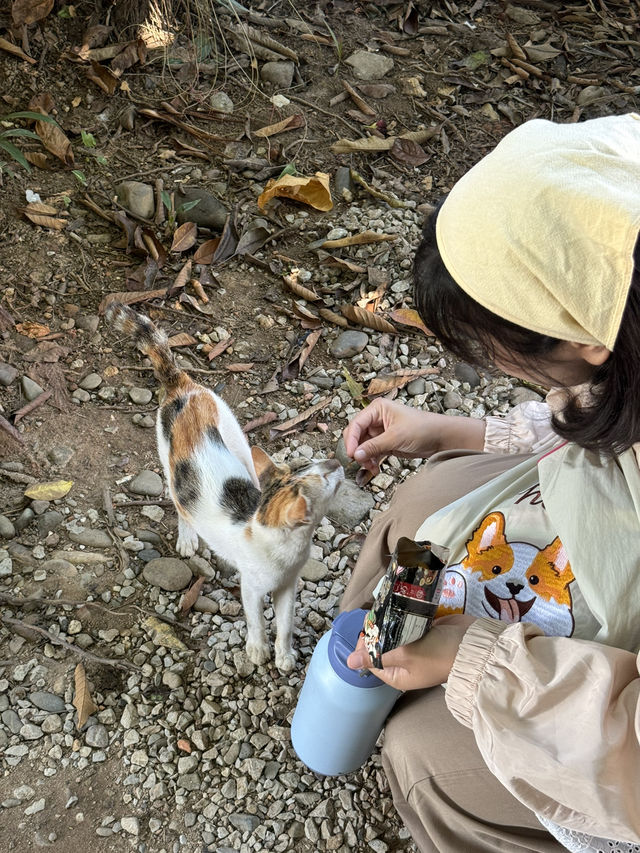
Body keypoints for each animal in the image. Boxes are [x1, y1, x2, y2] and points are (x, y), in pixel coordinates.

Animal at [109, 302, 344, 672]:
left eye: (310, 465)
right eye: (323, 479)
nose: (335, 464)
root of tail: (182, 385)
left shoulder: (288, 588)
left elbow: (286, 624)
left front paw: (285, 655)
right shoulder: (251, 587)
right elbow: (256, 620)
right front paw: (258, 650)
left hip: (236, 437)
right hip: (170, 466)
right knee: (179, 504)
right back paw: (187, 538)